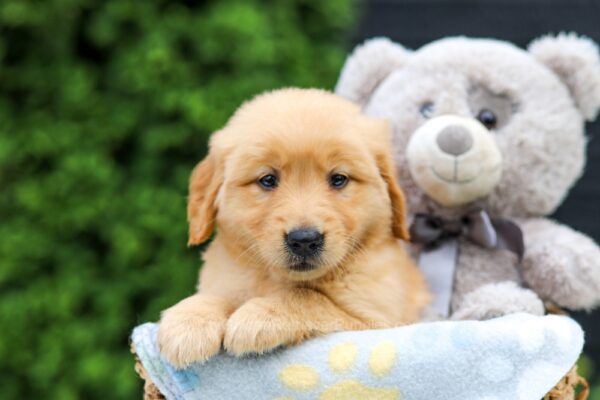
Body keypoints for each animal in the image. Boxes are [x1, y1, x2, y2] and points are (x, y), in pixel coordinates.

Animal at [157, 88, 428, 368]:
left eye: (338, 179)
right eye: (267, 180)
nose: (305, 240)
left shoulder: (376, 321)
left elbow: (308, 297)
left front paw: (260, 315)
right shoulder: (225, 279)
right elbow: (216, 296)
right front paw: (188, 322)